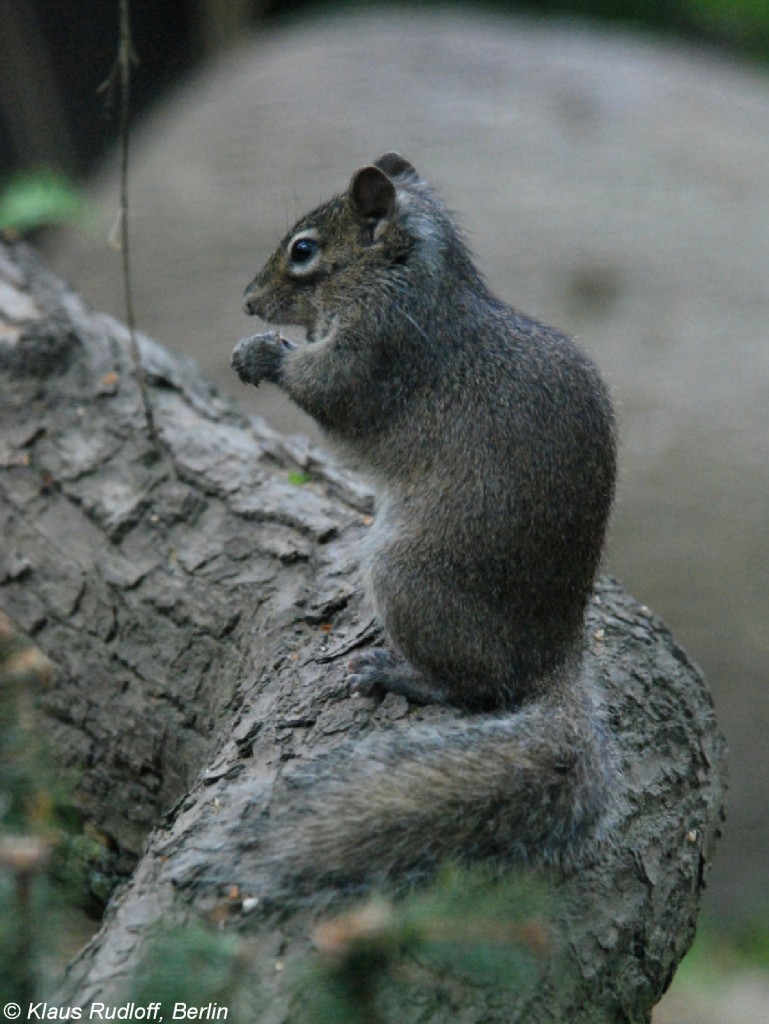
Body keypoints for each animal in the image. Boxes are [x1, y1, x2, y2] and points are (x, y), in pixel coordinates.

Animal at [231, 153, 618, 897]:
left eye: (303, 251)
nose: (249, 301)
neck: (411, 276)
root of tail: (551, 652)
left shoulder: (376, 348)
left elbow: (329, 390)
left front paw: (263, 354)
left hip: (411, 577)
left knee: (482, 688)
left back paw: (399, 675)